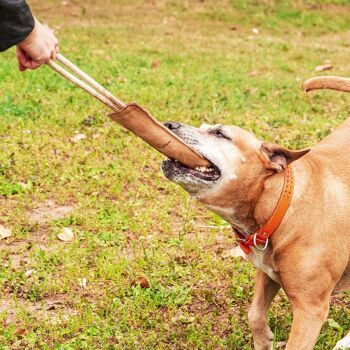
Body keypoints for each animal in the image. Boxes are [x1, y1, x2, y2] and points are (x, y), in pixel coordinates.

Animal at [163, 77, 350, 350]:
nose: (168, 124)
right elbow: (254, 314)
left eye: (220, 133)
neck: (281, 203)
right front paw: (263, 339)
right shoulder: (266, 273)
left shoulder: (310, 310)